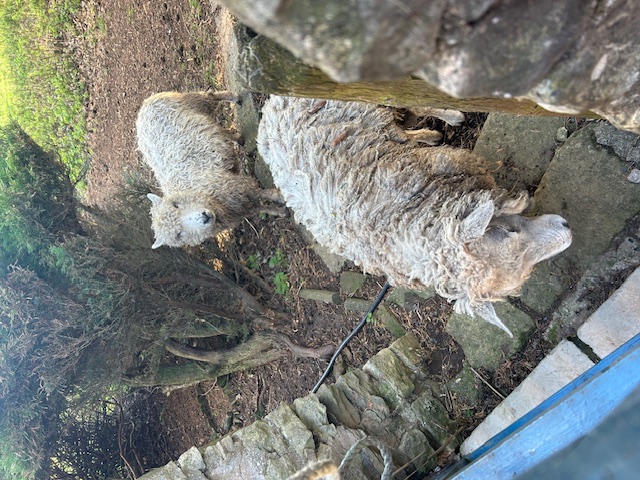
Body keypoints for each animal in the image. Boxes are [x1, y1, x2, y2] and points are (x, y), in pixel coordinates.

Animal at [136, 90, 283, 249]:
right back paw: (237, 138)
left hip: (194, 102)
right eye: (178, 235)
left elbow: (265, 194)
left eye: (176, 205)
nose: (204, 217)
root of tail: (143, 107)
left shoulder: (238, 187)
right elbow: (260, 208)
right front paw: (279, 212)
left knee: (211, 95)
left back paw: (235, 98)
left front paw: (280, 196)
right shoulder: (239, 208)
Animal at [257, 96, 572, 336]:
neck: (405, 222)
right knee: (403, 117)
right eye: (508, 232)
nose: (567, 229)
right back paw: (437, 128)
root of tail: (269, 105)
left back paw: (442, 123)